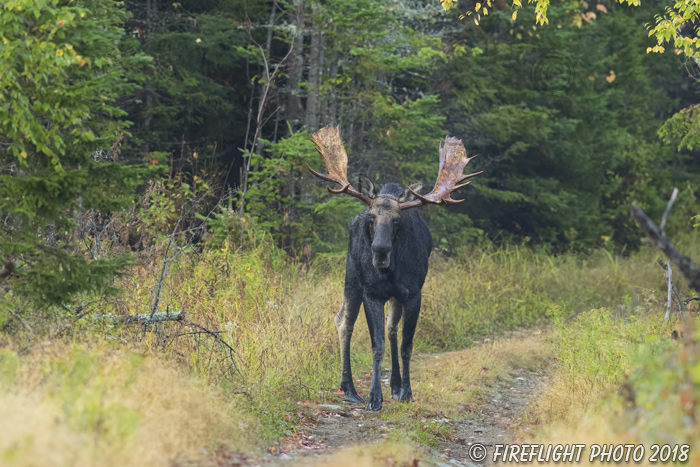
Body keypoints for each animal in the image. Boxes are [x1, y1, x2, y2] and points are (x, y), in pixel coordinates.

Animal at [312, 126, 482, 412]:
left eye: (397, 220)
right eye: (372, 217)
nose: (380, 250)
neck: (389, 272)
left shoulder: (413, 293)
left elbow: (405, 345)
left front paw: (406, 392)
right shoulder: (372, 293)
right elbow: (377, 345)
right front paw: (374, 398)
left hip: (393, 295)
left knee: (390, 327)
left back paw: (393, 384)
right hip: (351, 277)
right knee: (344, 321)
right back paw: (349, 389)